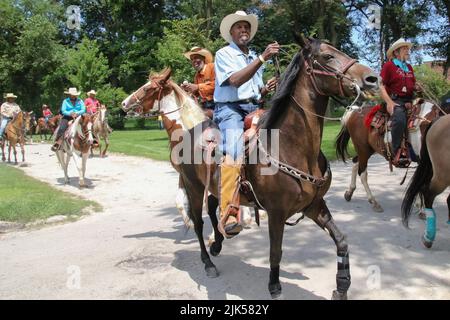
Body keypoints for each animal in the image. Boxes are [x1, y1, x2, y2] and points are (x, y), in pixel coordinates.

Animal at [121, 37, 378, 300]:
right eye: (327, 57)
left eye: (147, 88)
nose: (371, 79)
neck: (293, 147)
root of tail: (189, 133)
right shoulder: (276, 212)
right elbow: (275, 252)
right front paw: (274, 287)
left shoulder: (314, 205)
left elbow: (342, 240)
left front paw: (342, 286)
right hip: (193, 186)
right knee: (199, 223)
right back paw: (208, 261)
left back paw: (220, 240)